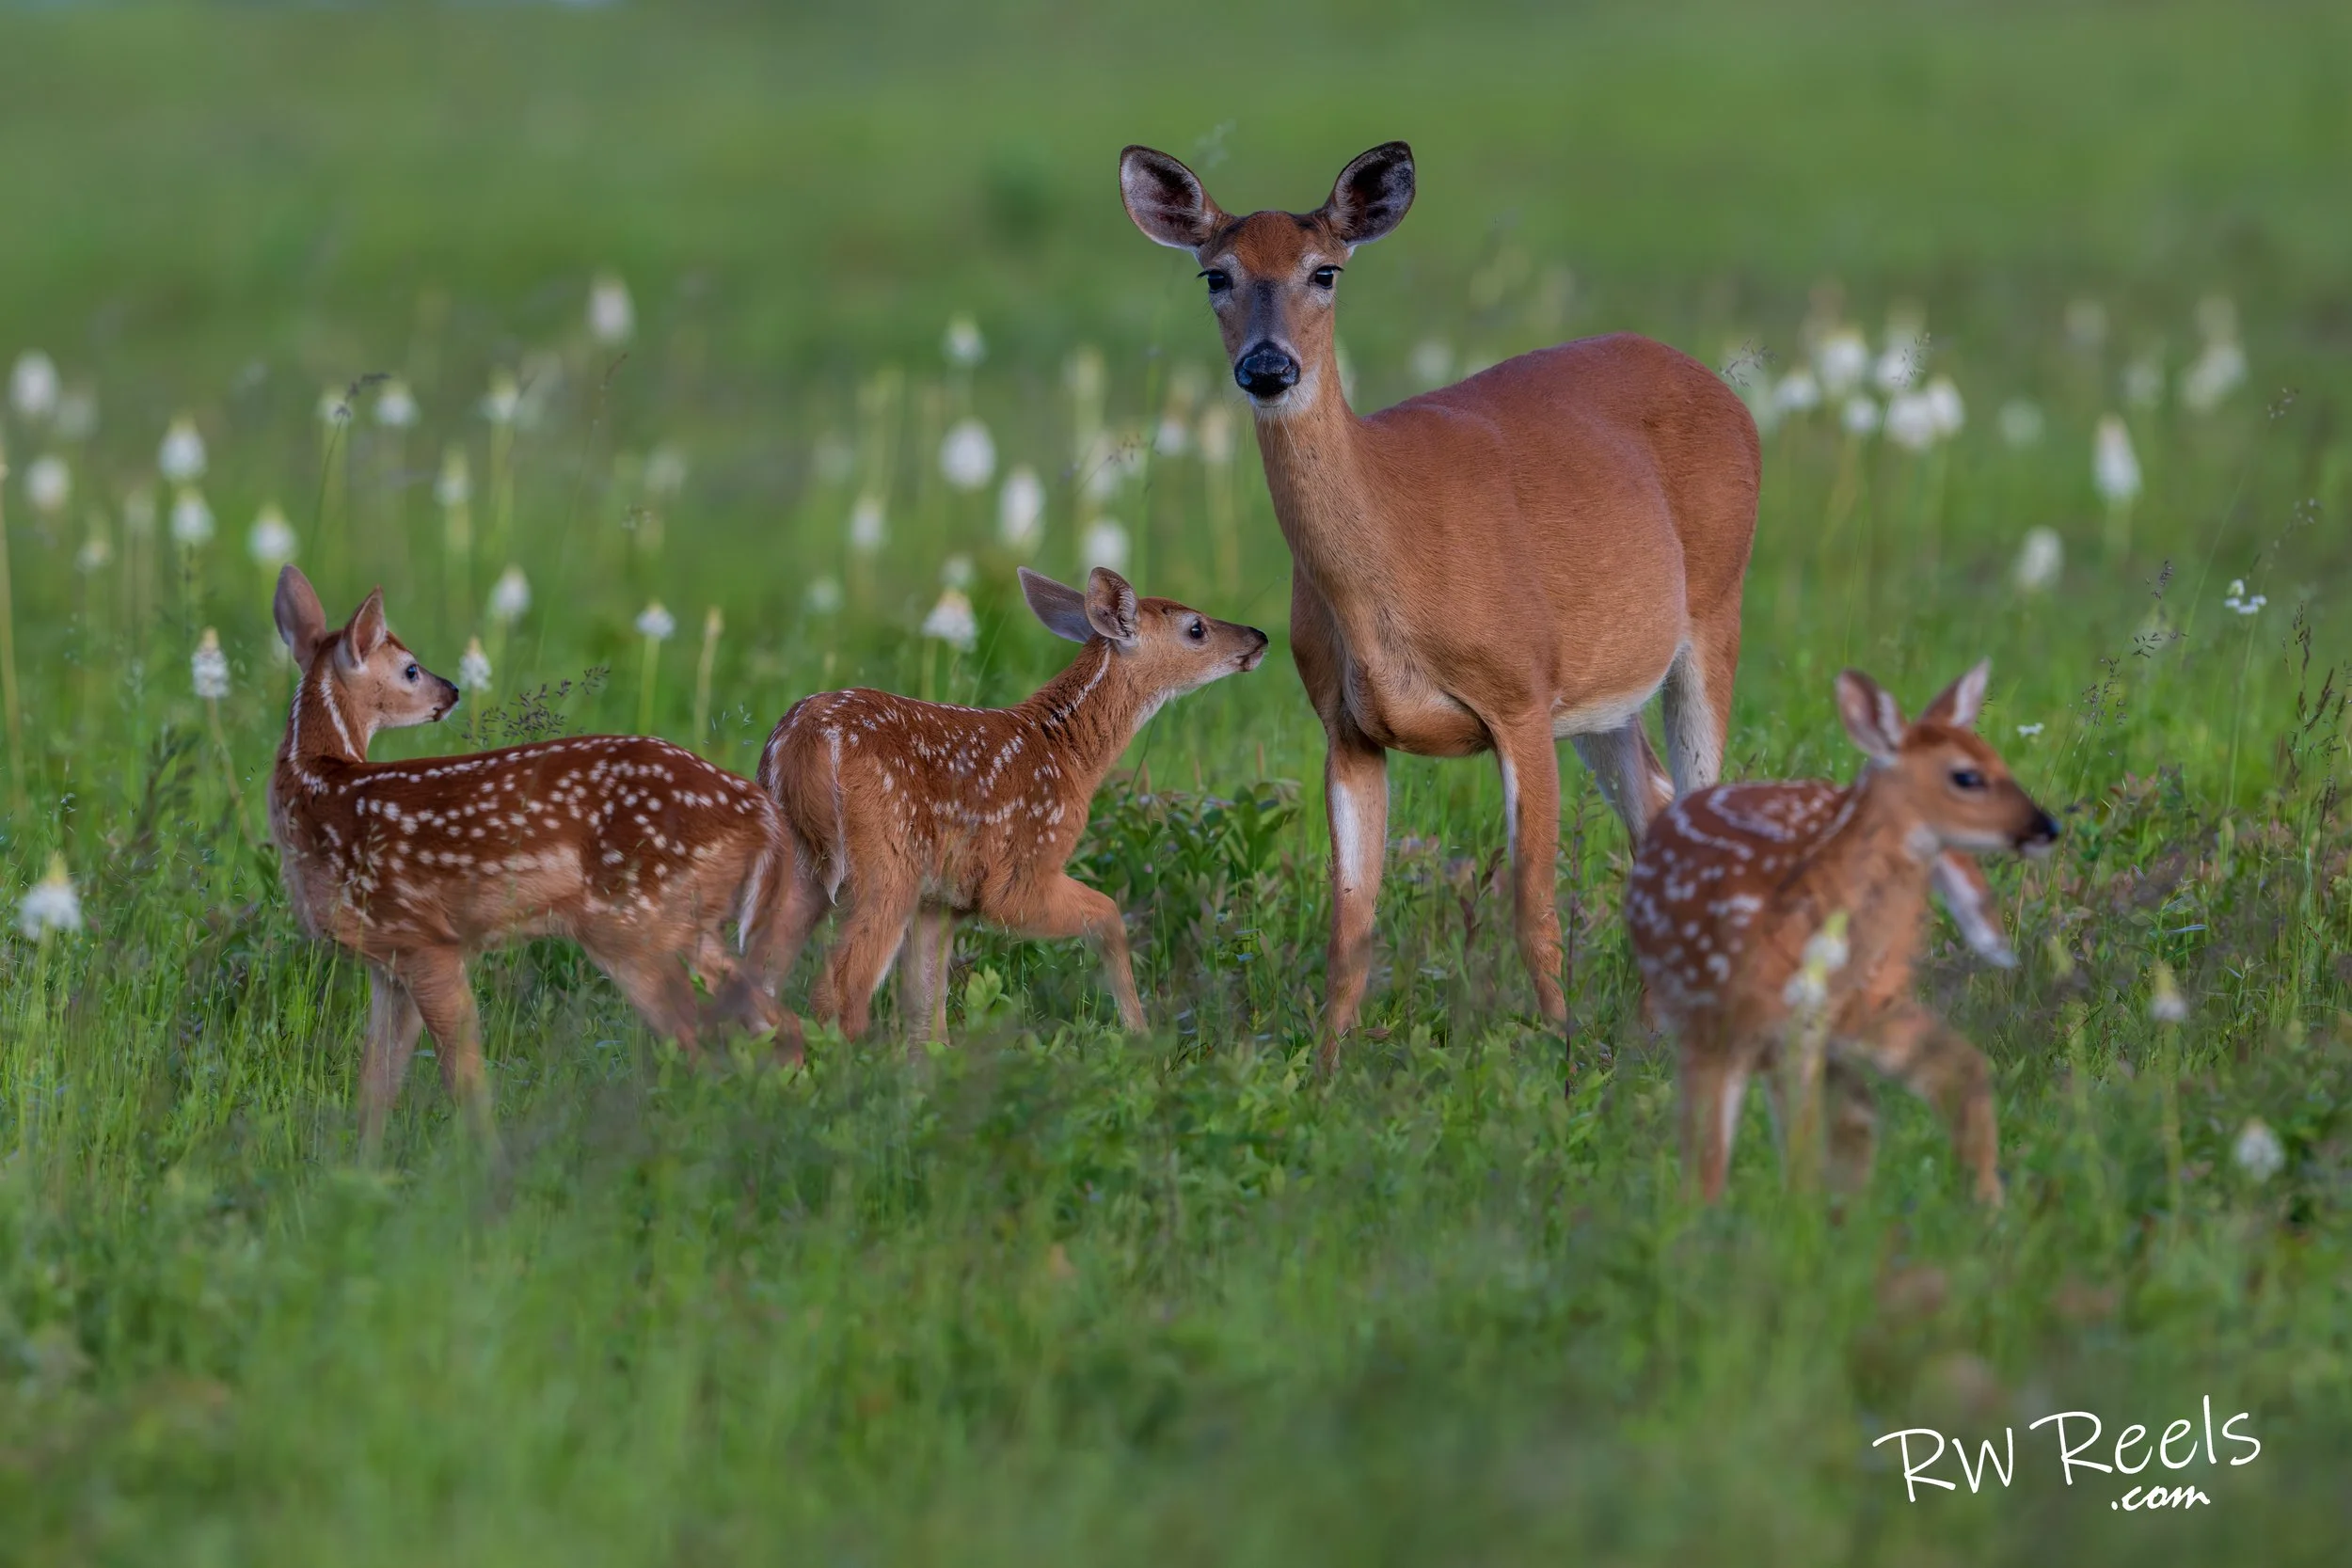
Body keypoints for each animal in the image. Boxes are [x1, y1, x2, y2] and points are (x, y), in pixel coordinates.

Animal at [266, 566, 796, 1154]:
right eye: (411, 668)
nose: (452, 690)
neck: (318, 786)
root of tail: (759, 808)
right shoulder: (387, 961)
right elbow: (376, 1084)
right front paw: (364, 1163)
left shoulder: (429, 940)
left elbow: (462, 1076)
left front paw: (484, 1158)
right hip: (686, 924)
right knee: (774, 1022)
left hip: (631, 923)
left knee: (701, 1038)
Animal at [754, 566, 1267, 1044]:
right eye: (1196, 628)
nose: (1260, 636)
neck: (1068, 755)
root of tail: (801, 741)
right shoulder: (1022, 867)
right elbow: (1109, 913)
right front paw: (1139, 1034)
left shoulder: (940, 902)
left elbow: (927, 1011)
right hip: (887, 861)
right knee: (839, 990)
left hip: (800, 860)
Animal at [1625, 660, 2058, 1208]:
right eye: (1967, 776)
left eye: (1999, 758)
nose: (2046, 826)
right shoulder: (1723, 1026)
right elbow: (1718, 1158)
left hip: (1871, 1003)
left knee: (1941, 1076)